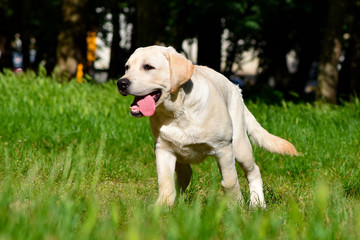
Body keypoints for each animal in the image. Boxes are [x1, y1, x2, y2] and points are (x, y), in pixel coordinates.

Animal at [116, 46, 296, 207]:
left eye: (148, 67)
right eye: (127, 67)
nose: (121, 83)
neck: (178, 113)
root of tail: (235, 87)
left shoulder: (223, 148)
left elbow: (230, 181)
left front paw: (236, 206)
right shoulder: (163, 149)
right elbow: (165, 183)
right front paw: (161, 208)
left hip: (240, 147)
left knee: (254, 171)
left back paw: (257, 203)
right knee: (185, 174)